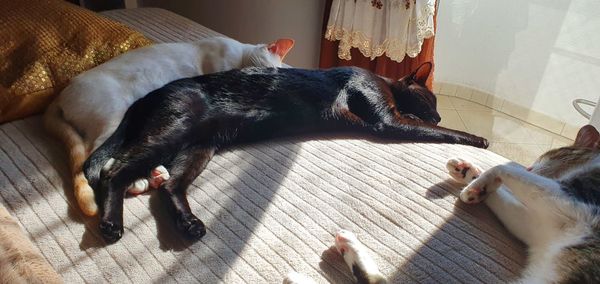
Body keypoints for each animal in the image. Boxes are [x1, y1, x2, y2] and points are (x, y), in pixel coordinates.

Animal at [44, 36, 292, 216]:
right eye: (270, 71)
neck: (239, 55)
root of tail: (60, 94)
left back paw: (155, 174)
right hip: (116, 116)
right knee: (100, 154)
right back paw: (141, 180)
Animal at [83, 63, 488, 243]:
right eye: (430, 99)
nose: (438, 113)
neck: (383, 81)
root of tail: (142, 100)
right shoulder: (388, 122)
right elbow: (440, 133)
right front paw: (480, 140)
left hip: (198, 147)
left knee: (169, 187)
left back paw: (189, 224)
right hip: (174, 130)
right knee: (112, 172)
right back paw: (111, 223)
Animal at [446, 126, 600, 284]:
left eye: (548, 156)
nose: (528, 168)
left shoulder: (568, 197)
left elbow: (502, 168)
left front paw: (476, 185)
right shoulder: (540, 227)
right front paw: (468, 174)